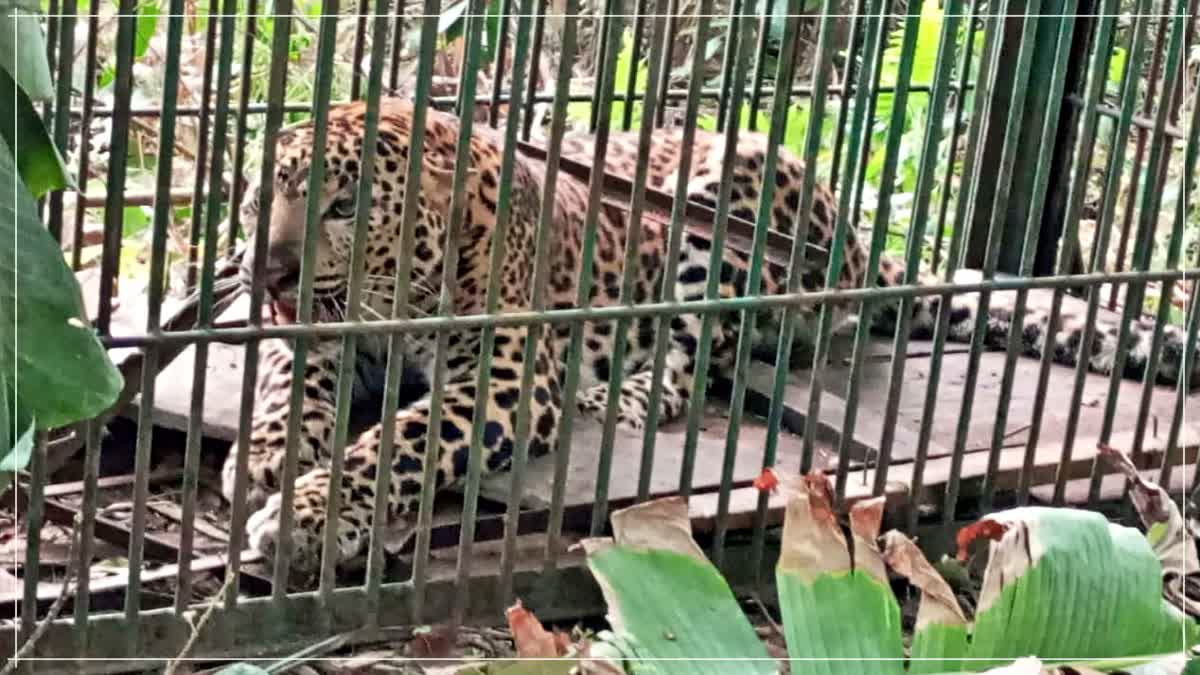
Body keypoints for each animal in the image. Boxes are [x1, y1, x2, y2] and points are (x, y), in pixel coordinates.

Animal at [223, 96, 1200, 578]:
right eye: (264, 189)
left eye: (345, 208)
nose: (265, 271)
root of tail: (860, 246)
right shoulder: (312, 336)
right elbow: (287, 378)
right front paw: (268, 451)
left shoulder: (500, 380)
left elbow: (397, 440)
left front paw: (306, 515)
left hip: (725, 195)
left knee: (695, 362)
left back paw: (612, 392)